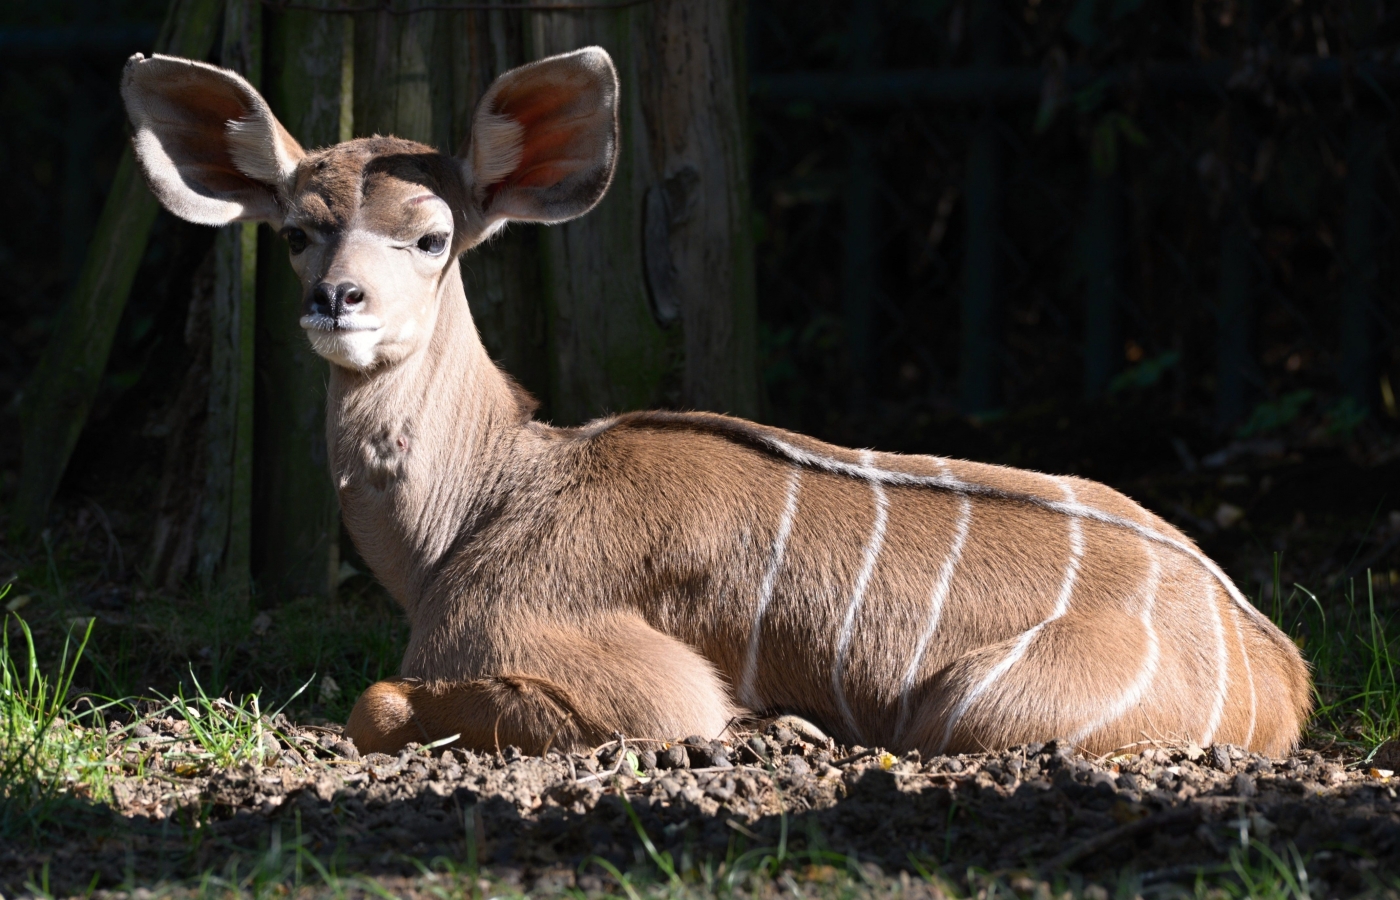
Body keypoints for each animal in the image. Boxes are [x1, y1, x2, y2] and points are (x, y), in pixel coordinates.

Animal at [123, 44, 1310, 761]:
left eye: (431, 236)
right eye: (294, 231)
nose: (338, 301)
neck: (485, 499)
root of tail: (1278, 666)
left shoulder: (625, 685)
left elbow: (374, 704)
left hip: (972, 706)